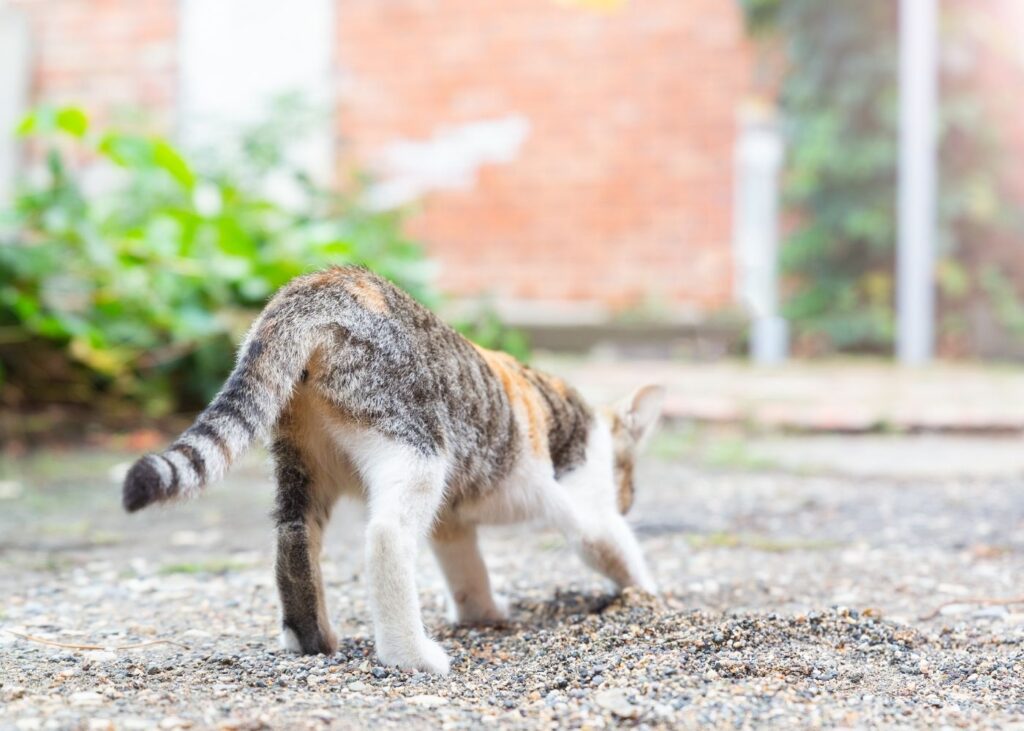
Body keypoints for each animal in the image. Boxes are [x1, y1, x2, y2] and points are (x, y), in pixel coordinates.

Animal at [121, 264, 663, 671]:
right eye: (629, 479)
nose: (632, 498)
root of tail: (323, 283)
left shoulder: (452, 519)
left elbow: (467, 570)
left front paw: (483, 613)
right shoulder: (585, 500)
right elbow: (614, 547)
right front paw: (652, 599)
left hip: (303, 457)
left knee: (294, 535)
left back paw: (311, 639)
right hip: (415, 445)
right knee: (386, 536)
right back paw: (412, 655)